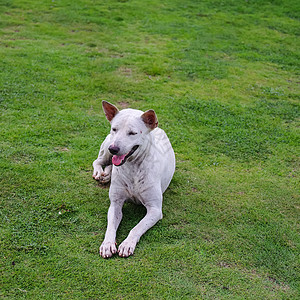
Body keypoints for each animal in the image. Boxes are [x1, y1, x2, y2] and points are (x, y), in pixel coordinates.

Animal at [92, 101, 175, 258]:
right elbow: (110, 226)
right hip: (106, 146)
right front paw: (107, 244)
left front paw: (127, 244)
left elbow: (137, 227)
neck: (133, 167)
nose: (114, 149)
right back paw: (100, 173)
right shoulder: (115, 204)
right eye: (114, 129)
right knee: (98, 161)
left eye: (132, 133)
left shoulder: (155, 210)